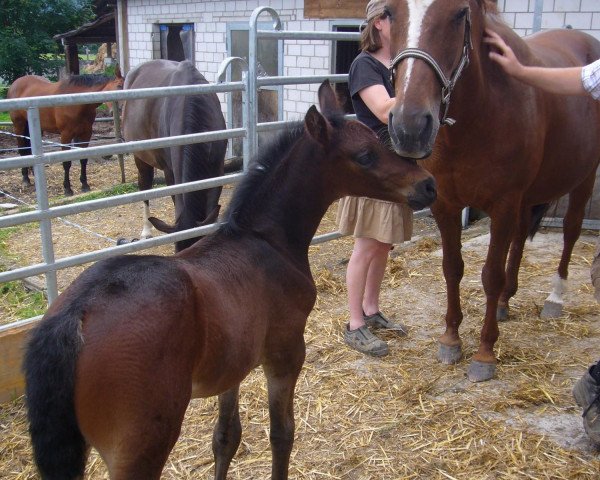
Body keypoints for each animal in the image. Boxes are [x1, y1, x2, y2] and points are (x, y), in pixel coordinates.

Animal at [7, 66, 124, 196]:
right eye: (119, 86)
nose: (120, 110)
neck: (77, 102)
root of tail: (16, 83)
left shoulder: (85, 134)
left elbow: (83, 159)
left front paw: (85, 185)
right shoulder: (66, 135)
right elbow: (66, 162)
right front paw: (67, 189)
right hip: (19, 126)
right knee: (22, 150)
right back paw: (25, 179)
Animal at [23, 80, 436, 478]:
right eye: (365, 155)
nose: (428, 184)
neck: (265, 239)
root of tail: (76, 315)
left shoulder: (233, 363)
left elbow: (226, 437)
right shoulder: (286, 352)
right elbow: (282, 433)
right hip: (141, 447)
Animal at [384, 0, 600, 382]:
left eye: (459, 13)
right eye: (390, 12)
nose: (409, 127)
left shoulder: (502, 205)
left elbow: (490, 275)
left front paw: (485, 353)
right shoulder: (446, 204)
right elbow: (452, 268)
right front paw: (451, 339)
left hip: (584, 177)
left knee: (571, 231)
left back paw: (555, 298)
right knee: (520, 238)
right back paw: (504, 303)